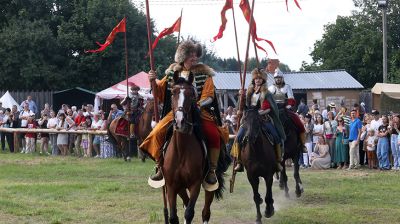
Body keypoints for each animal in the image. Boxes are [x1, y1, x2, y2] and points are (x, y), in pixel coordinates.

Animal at [163, 74, 228, 223]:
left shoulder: (195, 184)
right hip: (180, 187)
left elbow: (189, 213)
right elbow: (174, 216)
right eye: (173, 93)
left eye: (191, 95)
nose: (180, 121)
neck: (181, 150)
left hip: (209, 184)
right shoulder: (172, 186)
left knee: (205, 212)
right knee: (186, 203)